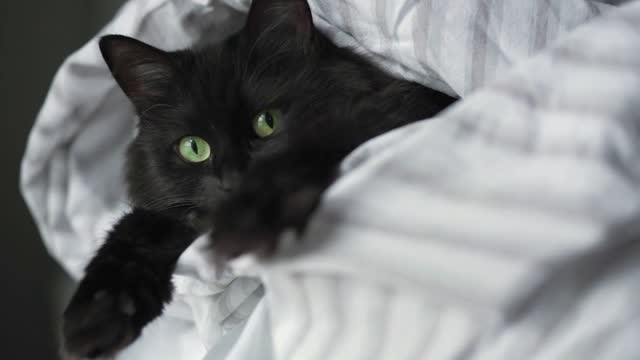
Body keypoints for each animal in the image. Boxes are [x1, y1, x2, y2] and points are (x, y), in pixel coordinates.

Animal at [61, 0, 456, 358]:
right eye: (193, 147)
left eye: (267, 122)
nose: (231, 179)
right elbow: (135, 229)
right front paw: (97, 315)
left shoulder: (398, 109)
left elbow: (317, 145)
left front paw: (250, 217)